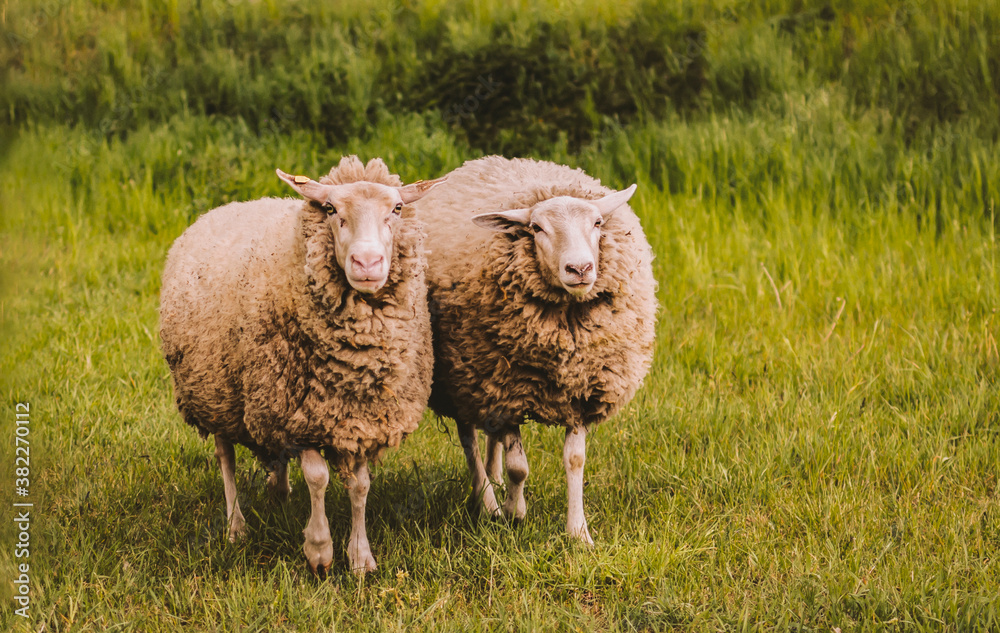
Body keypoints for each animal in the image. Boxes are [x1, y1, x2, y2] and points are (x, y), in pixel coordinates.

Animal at [159, 156, 445, 574]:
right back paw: (236, 526)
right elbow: (317, 477)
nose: (367, 262)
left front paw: (360, 558)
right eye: (330, 209)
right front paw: (320, 551)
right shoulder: (300, 415)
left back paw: (278, 491)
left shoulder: (359, 418)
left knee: (270, 454)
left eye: (396, 208)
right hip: (215, 390)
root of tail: (224, 208)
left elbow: (361, 485)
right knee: (226, 457)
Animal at [411, 156, 656, 544]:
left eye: (598, 223)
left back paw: (493, 480)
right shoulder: (507, 391)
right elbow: (519, 467)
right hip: (463, 377)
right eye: (537, 228)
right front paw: (515, 513)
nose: (580, 268)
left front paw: (578, 533)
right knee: (468, 439)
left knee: (489, 436)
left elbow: (574, 461)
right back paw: (487, 500)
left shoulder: (580, 387)